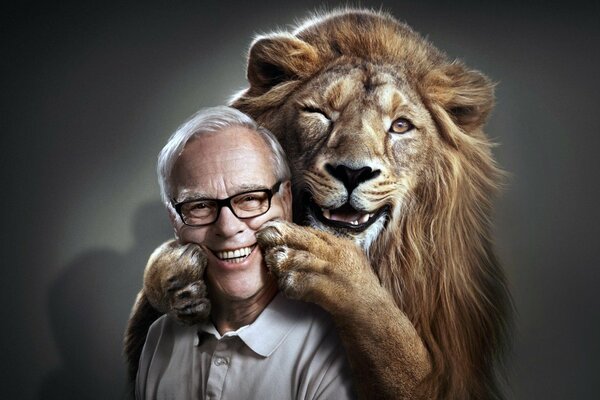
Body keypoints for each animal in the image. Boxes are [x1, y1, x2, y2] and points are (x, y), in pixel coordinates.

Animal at [125, 9, 510, 400]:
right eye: (319, 113)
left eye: (401, 126)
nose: (352, 172)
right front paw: (177, 282)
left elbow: (392, 340)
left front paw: (323, 264)